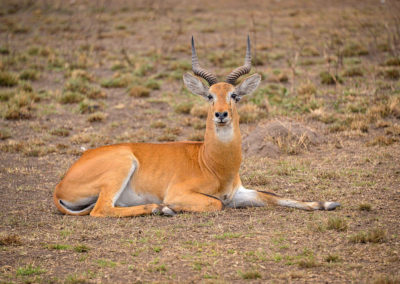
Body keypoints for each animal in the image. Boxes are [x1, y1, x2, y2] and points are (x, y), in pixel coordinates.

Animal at [54, 36, 340, 217]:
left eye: (234, 95)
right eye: (209, 96)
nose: (221, 114)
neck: (212, 163)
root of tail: (61, 183)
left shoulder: (240, 192)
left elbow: (273, 195)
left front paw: (327, 203)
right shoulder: (182, 193)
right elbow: (216, 204)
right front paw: (170, 207)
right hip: (121, 168)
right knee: (101, 210)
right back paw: (160, 209)